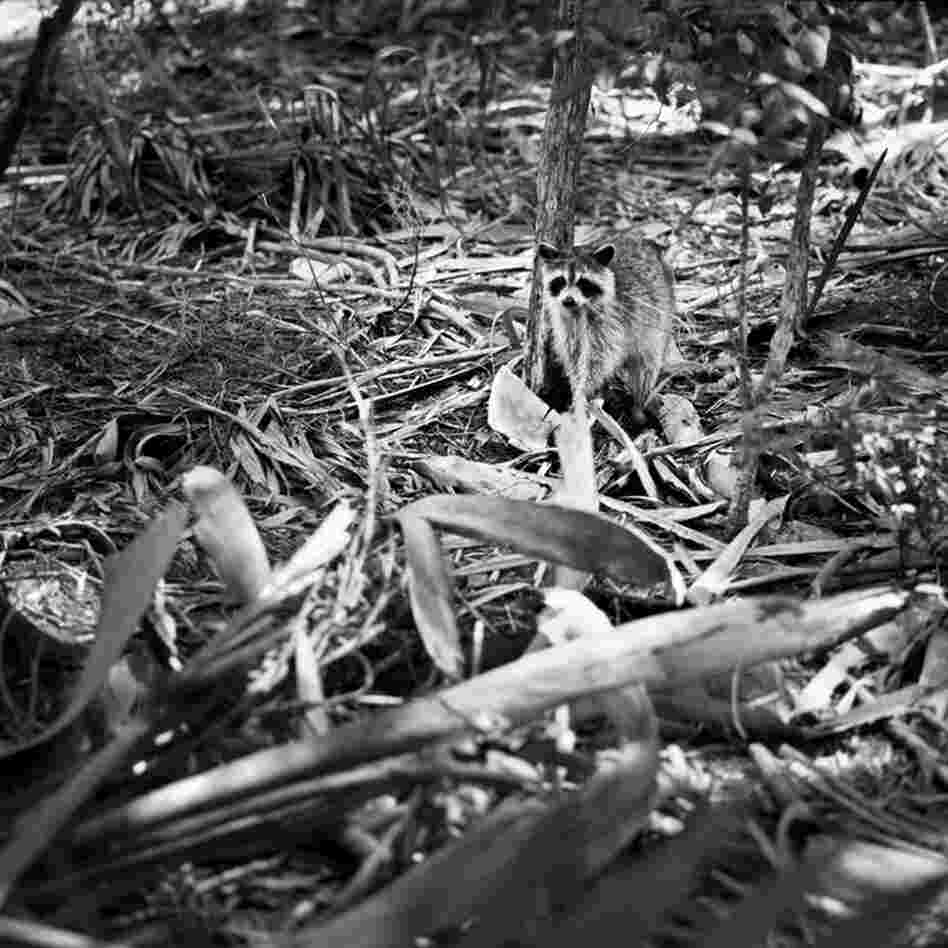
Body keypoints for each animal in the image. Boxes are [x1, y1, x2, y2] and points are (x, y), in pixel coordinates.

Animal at [537, 232, 675, 415]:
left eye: (584, 283)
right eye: (560, 280)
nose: (568, 300)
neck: (578, 310)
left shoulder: (610, 321)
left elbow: (597, 360)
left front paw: (583, 390)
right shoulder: (566, 323)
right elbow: (573, 355)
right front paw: (576, 384)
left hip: (660, 316)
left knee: (646, 367)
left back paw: (639, 404)